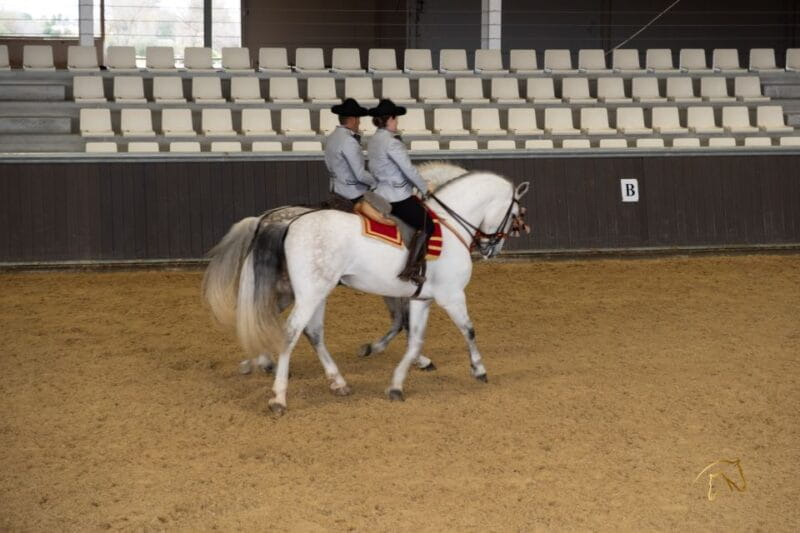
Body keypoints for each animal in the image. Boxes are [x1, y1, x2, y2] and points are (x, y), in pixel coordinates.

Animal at [234, 168, 530, 414]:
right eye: (515, 215)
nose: (491, 249)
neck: (449, 226)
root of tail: (288, 223)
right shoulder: (452, 295)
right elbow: (468, 330)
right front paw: (479, 369)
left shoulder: (422, 298)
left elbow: (414, 340)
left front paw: (397, 383)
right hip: (308, 294)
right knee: (290, 332)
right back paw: (278, 396)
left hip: (313, 293)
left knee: (308, 330)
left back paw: (334, 381)